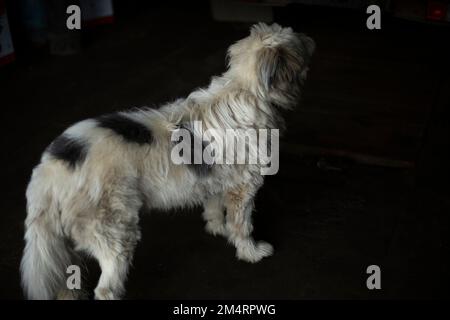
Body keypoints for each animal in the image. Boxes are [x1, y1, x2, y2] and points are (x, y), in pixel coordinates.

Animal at [20, 23, 312, 300]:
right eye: (298, 43)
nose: (312, 40)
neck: (246, 90)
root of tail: (50, 169)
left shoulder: (215, 180)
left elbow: (214, 210)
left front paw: (218, 229)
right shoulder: (243, 189)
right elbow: (242, 226)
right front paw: (251, 252)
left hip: (63, 238)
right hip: (115, 232)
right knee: (106, 289)